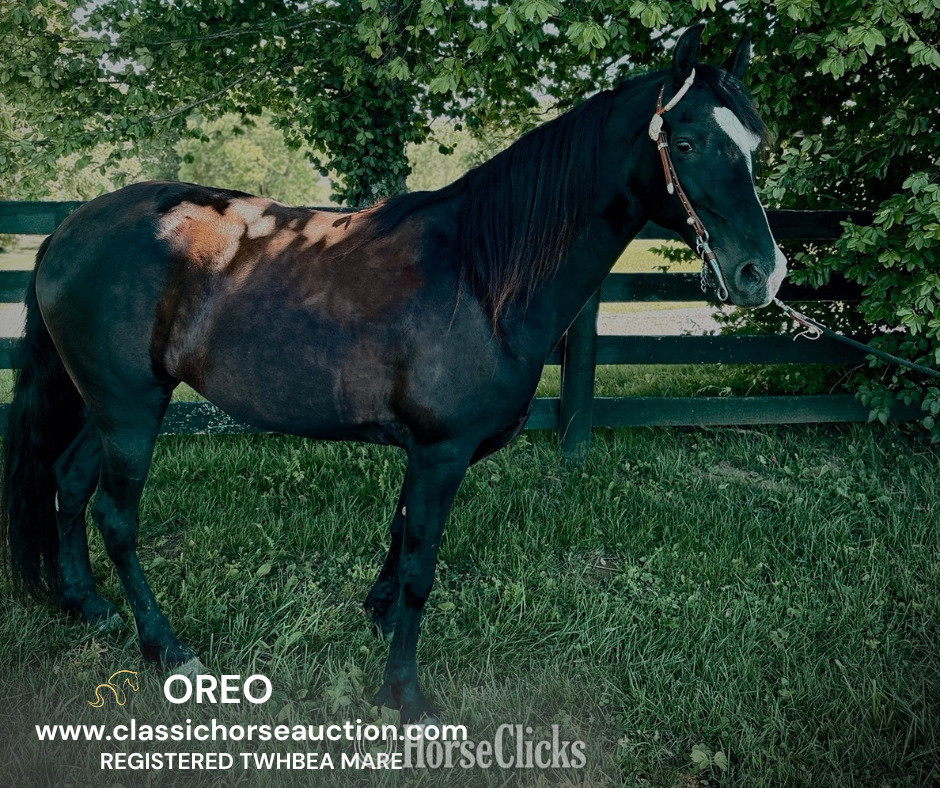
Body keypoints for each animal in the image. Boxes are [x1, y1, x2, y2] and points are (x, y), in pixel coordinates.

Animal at [2, 25, 786, 724]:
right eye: (685, 143)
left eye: (754, 146)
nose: (762, 274)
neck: (480, 276)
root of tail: (71, 226)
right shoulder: (441, 452)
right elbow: (419, 567)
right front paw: (404, 693)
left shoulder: (422, 452)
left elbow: (399, 536)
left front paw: (376, 620)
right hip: (131, 410)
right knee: (115, 516)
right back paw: (164, 646)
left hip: (104, 406)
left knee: (69, 482)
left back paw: (87, 605)